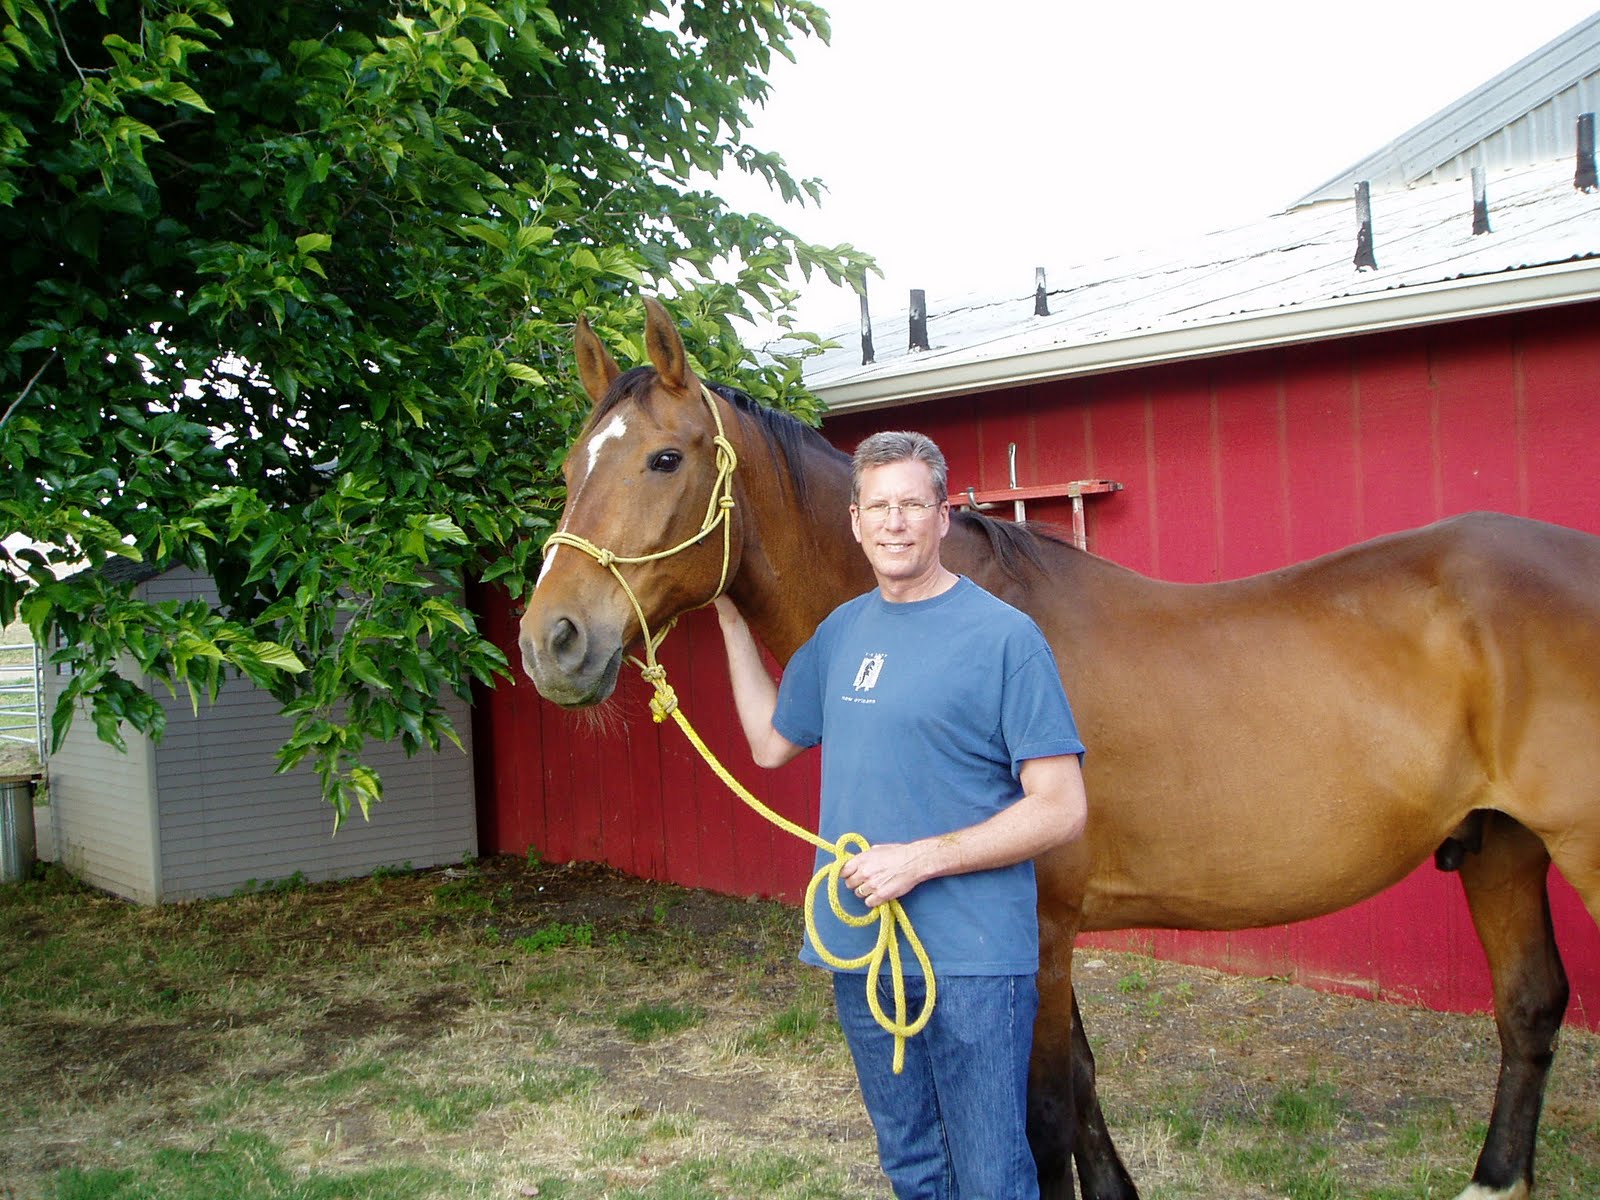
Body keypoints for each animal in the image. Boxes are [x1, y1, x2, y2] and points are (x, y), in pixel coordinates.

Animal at [519, 297, 1600, 1200]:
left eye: (665, 460)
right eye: (570, 469)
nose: (551, 641)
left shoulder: (1035, 931)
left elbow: (1038, 1116)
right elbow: (1078, 1088)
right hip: (1500, 848)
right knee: (1528, 1006)